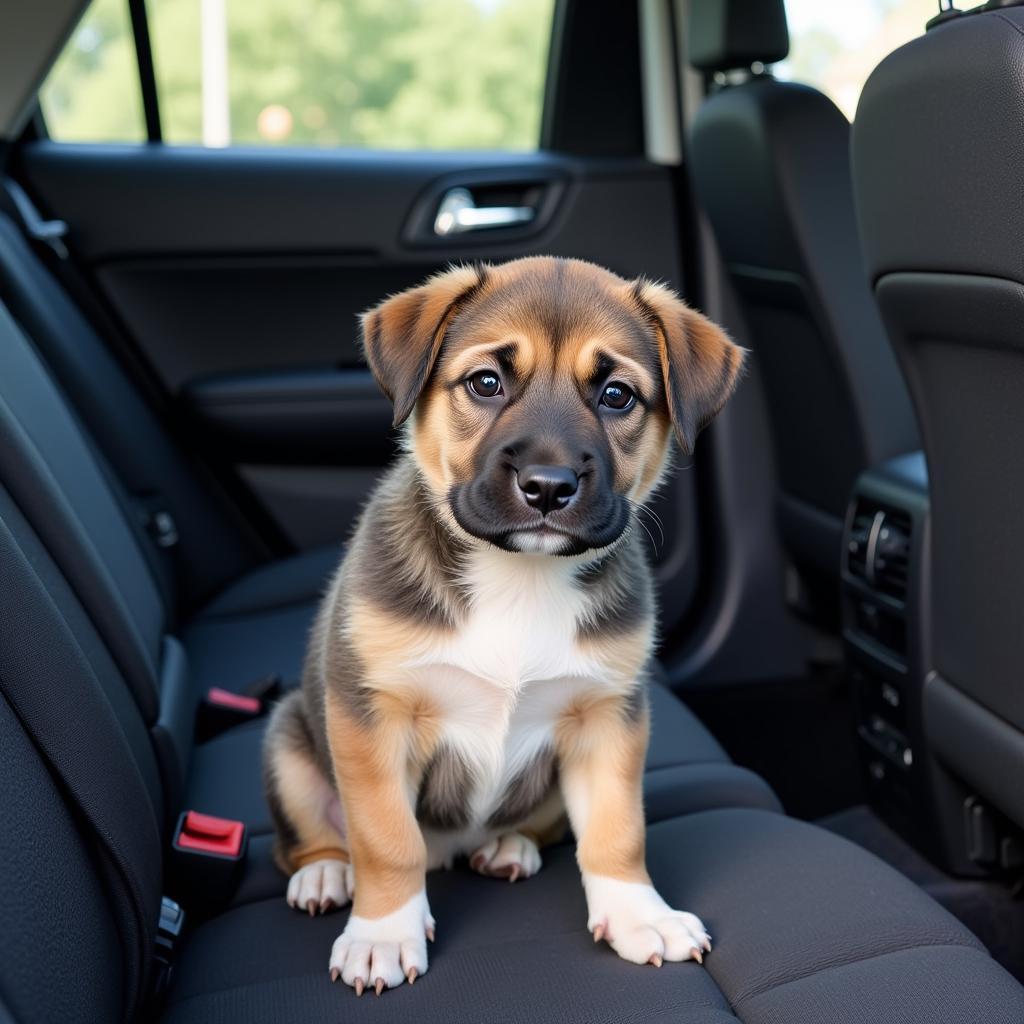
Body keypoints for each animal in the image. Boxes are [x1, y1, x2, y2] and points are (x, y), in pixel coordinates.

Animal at [264, 253, 745, 991]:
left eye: (617, 396)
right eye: (486, 383)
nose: (547, 486)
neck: (520, 579)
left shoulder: (609, 717)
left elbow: (618, 830)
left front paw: (639, 914)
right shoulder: (370, 715)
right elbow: (384, 838)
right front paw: (383, 933)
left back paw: (508, 845)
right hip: (289, 734)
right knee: (314, 838)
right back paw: (324, 873)